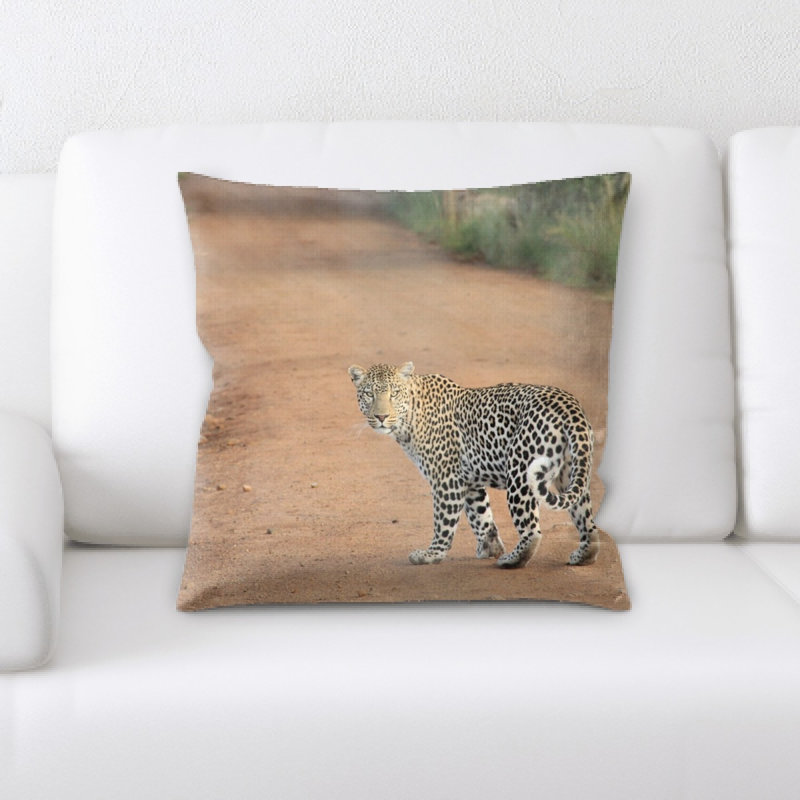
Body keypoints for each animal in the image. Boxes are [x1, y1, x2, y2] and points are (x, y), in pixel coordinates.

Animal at [348, 361, 600, 569]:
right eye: (369, 394)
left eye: (394, 394)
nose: (381, 417)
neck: (409, 418)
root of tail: (568, 404)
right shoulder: (469, 481)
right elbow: (481, 516)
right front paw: (490, 548)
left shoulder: (446, 479)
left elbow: (444, 520)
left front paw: (432, 554)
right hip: (571, 471)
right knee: (586, 519)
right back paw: (584, 555)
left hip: (520, 473)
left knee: (532, 530)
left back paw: (512, 560)